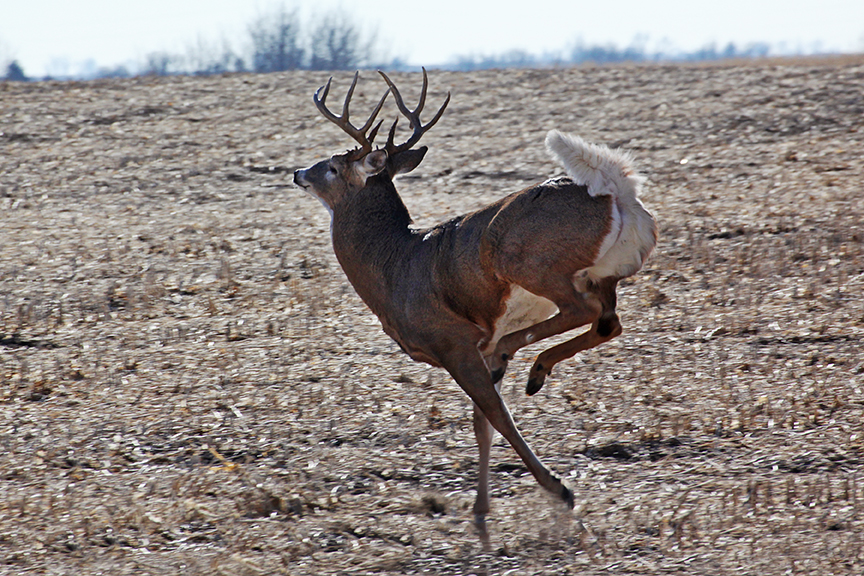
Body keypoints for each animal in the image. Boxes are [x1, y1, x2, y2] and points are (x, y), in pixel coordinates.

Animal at [292, 69, 657, 521]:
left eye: (332, 166)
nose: (298, 172)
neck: (395, 264)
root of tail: (617, 192)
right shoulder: (466, 350)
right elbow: (481, 423)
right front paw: (482, 512)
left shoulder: (454, 342)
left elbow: (496, 417)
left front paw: (557, 488)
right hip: (604, 275)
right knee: (609, 321)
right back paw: (533, 368)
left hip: (529, 262)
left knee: (580, 310)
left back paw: (520, 357)